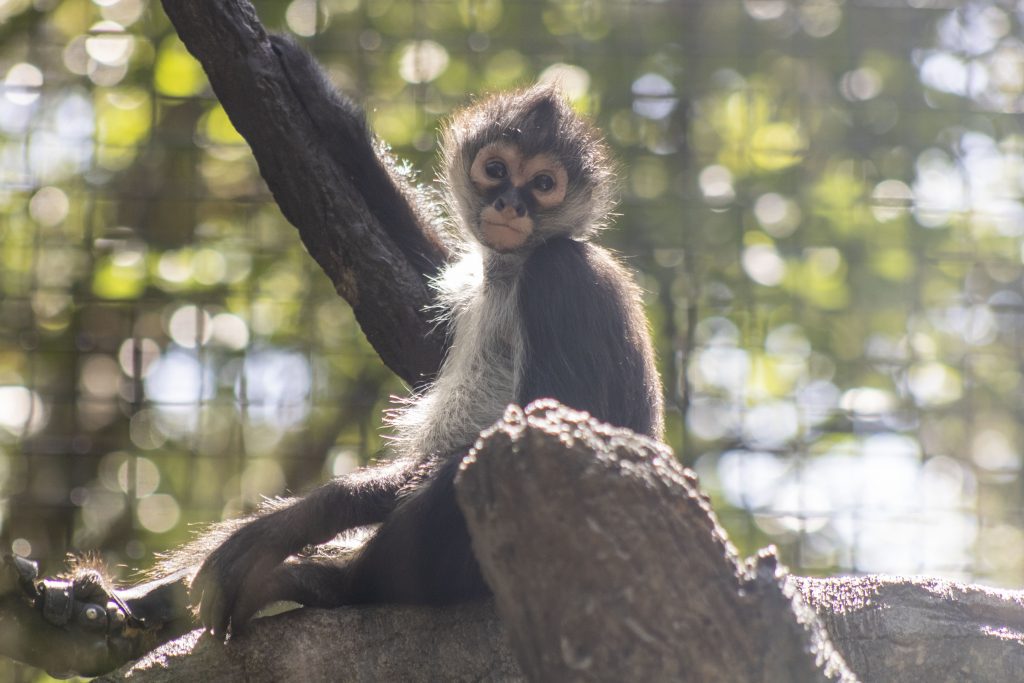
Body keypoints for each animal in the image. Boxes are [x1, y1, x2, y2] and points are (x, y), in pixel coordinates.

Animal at [7, 33, 663, 655]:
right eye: (497, 170)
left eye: (544, 184)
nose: (511, 204)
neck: (511, 269)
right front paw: (335, 117)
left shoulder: (561, 274)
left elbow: (548, 424)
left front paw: (299, 518)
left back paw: (327, 583)